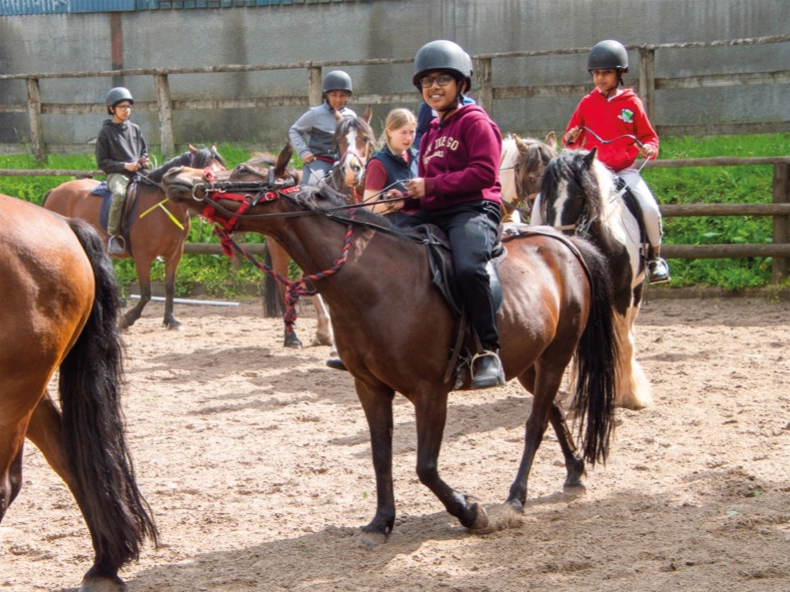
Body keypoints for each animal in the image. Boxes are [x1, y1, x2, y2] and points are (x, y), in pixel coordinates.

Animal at [0, 195, 158, 592]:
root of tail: (63, 224)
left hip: (12, 391)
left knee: (5, 486)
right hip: (29, 388)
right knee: (72, 459)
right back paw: (104, 565)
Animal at [43, 143, 224, 328]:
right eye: (207, 174)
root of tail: (55, 190)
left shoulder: (175, 253)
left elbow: (169, 287)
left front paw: (170, 320)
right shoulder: (142, 255)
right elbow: (146, 292)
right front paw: (128, 318)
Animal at [159, 156, 620, 544]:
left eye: (240, 169)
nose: (176, 176)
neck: (372, 281)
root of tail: (564, 243)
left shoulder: (430, 392)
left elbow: (425, 467)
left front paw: (471, 512)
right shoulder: (370, 387)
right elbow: (381, 455)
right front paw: (381, 521)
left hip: (557, 355)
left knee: (535, 424)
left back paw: (516, 498)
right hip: (528, 362)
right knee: (552, 411)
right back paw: (574, 472)